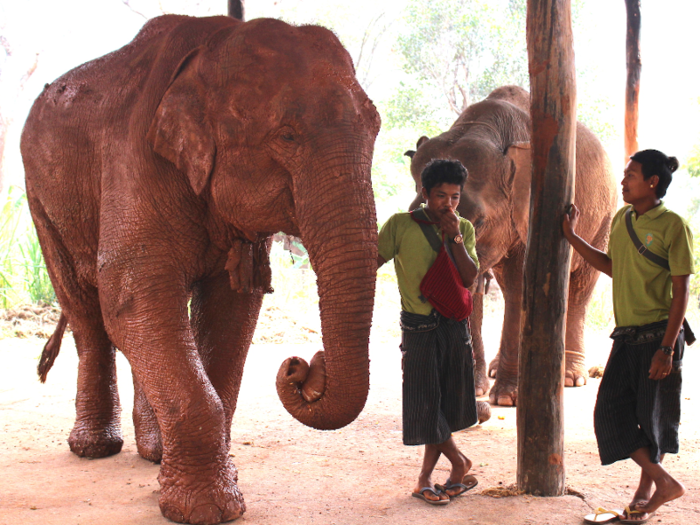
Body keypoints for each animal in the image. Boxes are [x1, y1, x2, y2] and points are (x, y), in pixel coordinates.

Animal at [21, 15, 380, 524]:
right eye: (287, 136)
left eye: (376, 128)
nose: (302, 365)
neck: (212, 46)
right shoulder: (133, 160)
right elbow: (133, 300)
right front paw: (207, 509)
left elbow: (231, 311)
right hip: (41, 200)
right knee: (87, 312)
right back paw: (93, 449)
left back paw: (153, 452)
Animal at [408, 85, 616, 406]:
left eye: (478, 222)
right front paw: (476, 391)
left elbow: (521, 283)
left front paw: (507, 399)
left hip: (603, 220)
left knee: (581, 287)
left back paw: (570, 377)